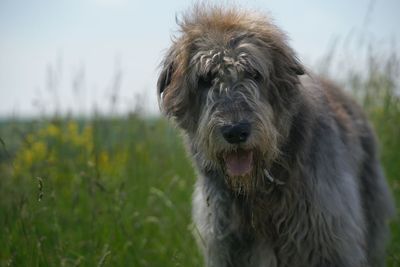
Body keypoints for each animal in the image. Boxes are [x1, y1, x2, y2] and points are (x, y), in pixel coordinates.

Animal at [156, 5, 394, 266]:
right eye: (206, 78)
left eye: (254, 74)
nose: (235, 131)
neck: (260, 189)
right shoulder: (227, 245)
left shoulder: (328, 239)